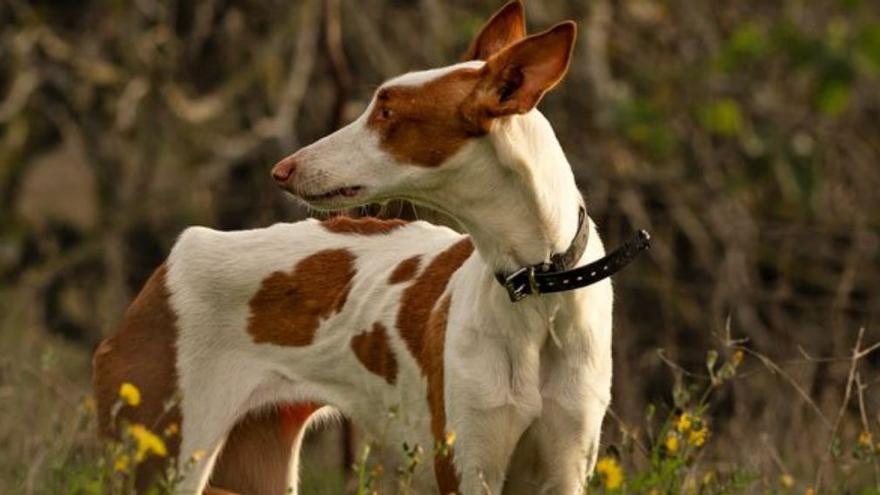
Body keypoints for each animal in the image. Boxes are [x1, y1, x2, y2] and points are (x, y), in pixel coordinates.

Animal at [94, 1, 620, 494]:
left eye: (386, 112)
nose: (282, 169)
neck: (536, 285)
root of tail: (172, 261)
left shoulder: (564, 472)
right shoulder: (469, 471)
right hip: (165, 457)